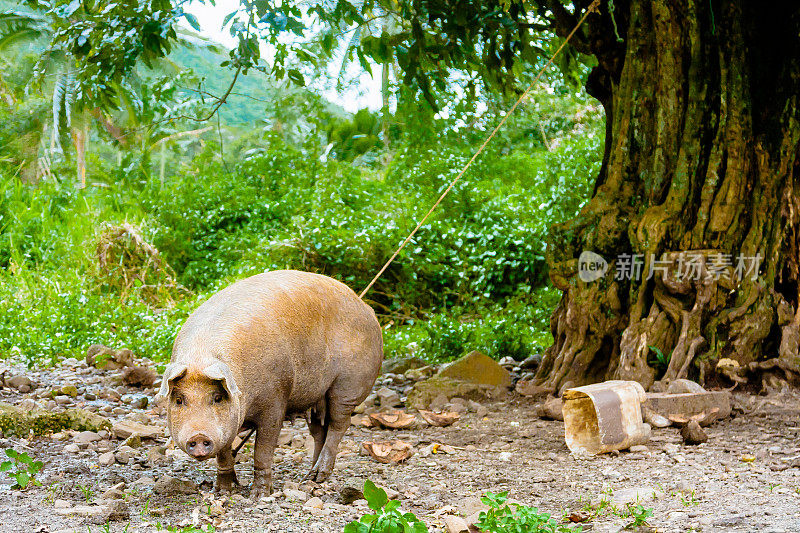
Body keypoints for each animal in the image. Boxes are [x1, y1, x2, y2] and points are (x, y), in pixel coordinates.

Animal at [155, 270, 384, 494]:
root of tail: (367, 308)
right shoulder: (229, 423)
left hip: (349, 384)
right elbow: (225, 454)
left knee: (339, 424)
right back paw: (308, 477)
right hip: (316, 396)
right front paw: (221, 491)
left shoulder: (275, 400)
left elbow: (263, 450)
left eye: (218, 397)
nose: (198, 436)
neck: (201, 356)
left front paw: (260, 494)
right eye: (179, 400)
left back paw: (318, 475)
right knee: (320, 430)